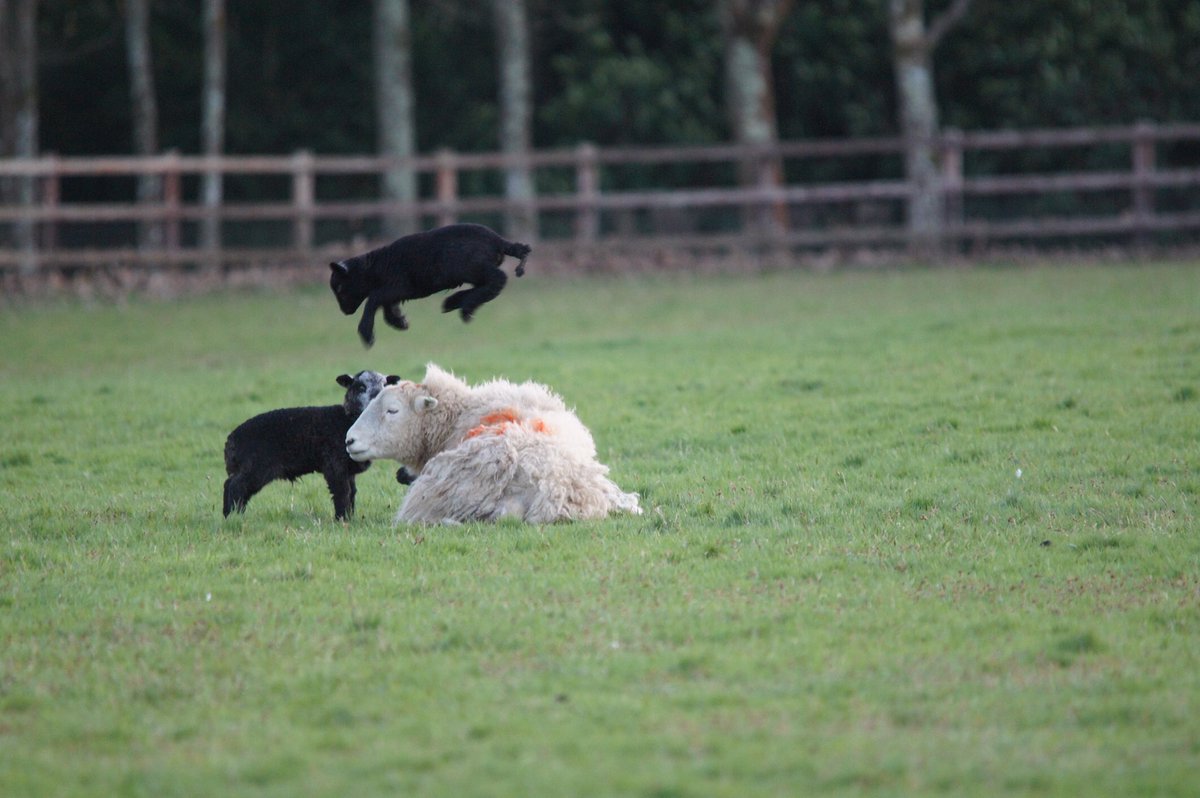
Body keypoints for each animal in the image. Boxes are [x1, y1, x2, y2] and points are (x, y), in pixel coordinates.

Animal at [223, 370, 393, 520]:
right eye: (361, 387)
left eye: (385, 385)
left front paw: (350, 518)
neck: (346, 421)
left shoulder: (348, 470)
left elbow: (352, 492)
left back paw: (230, 515)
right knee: (235, 486)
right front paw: (342, 519)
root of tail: (231, 441)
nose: (379, 399)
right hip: (256, 466)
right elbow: (342, 492)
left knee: (231, 485)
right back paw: (233, 516)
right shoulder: (335, 465)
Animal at [329, 223, 532, 347]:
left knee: (498, 279)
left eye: (339, 288)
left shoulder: (401, 287)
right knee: (488, 284)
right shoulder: (395, 292)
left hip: (473, 268)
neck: (377, 267)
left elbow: (373, 299)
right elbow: (385, 306)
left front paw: (367, 334)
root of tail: (499, 241)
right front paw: (399, 321)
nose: (345, 312)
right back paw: (454, 302)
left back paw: (465, 308)